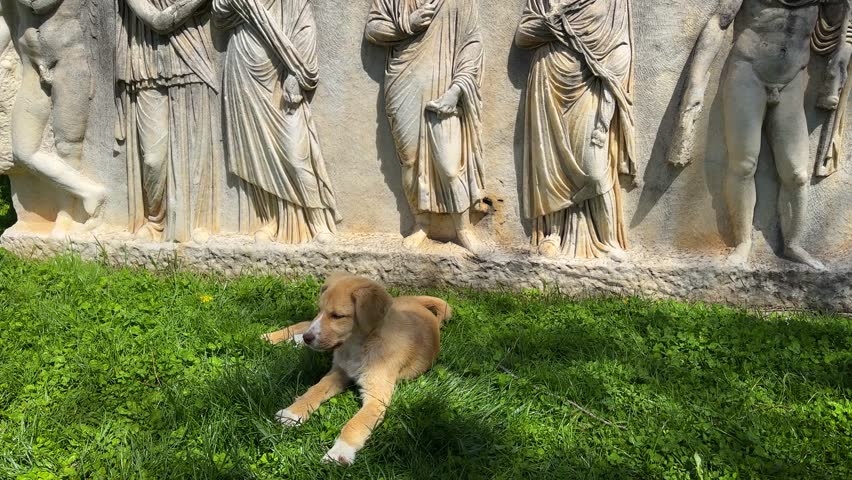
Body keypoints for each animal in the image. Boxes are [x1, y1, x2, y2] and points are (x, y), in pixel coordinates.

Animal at [262, 274, 452, 464]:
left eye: (338, 316)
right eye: (320, 309)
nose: (308, 338)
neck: (357, 346)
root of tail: (415, 302)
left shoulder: (376, 397)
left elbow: (356, 423)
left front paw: (340, 452)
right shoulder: (339, 371)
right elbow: (315, 390)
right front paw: (291, 413)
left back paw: (293, 340)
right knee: (303, 323)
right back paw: (270, 337)